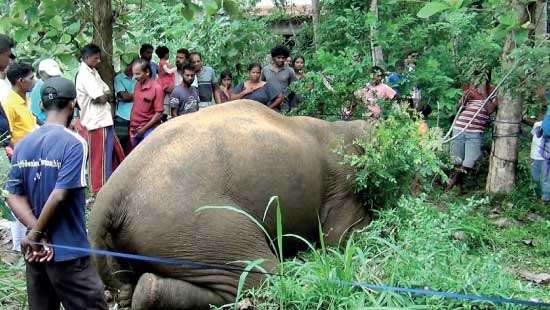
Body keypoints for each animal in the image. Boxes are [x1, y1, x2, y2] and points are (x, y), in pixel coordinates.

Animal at [89, 100, 376, 308]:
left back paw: (134, 295)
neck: (345, 128)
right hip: (195, 225)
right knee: (261, 275)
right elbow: (343, 238)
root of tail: (111, 193)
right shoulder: (342, 184)